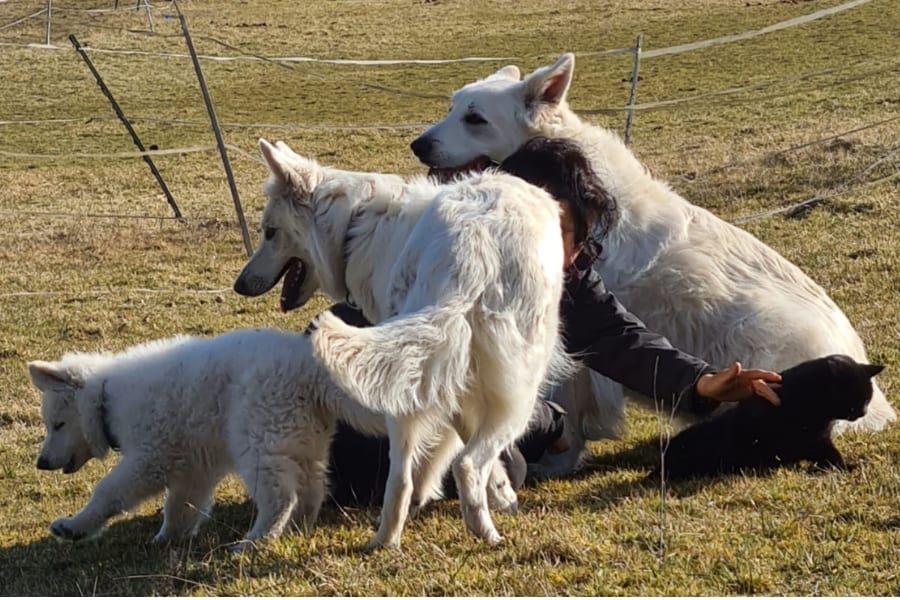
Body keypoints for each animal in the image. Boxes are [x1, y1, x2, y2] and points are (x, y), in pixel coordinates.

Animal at [234, 139, 568, 548]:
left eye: (269, 232)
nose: (238, 285)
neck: (355, 227)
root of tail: (473, 251)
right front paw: (503, 494)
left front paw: (498, 491)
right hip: (520, 388)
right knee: (468, 462)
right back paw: (484, 531)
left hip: (409, 376)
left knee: (402, 476)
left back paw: (387, 537)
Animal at [656, 354, 884, 480]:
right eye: (856, 398)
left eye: (867, 399)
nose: (863, 412)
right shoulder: (814, 440)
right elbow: (830, 455)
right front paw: (846, 467)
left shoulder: (818, 437)